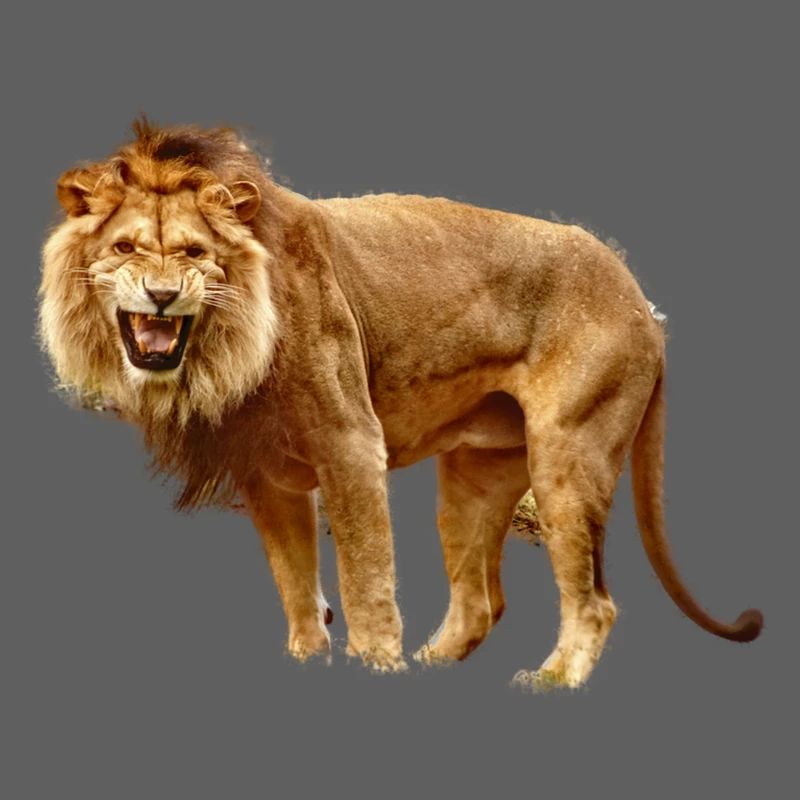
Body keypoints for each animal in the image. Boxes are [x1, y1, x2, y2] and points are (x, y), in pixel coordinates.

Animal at [39, 119, 762, 688]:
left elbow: (365, 576)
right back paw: (434, 668)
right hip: (475, 477)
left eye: (195, 253)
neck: (223, 351)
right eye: (125, 248)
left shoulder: (351, 443)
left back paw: (550, 680)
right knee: (480, 602)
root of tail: (643, 303)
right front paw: (309, 661)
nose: (162, 296)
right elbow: (295, 580)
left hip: (569, 454)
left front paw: (375, 665)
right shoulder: (265, 474)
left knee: (592, 602)